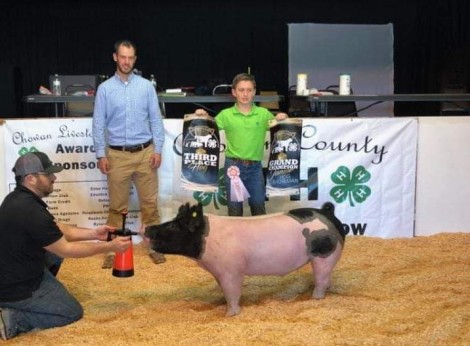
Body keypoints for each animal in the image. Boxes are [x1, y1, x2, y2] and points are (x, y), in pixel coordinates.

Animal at [145, 201, 346, 318]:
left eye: (174, 226)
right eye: (172, 221)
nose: (148, 229)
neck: (206, 238)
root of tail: (329, 214)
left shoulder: (231, 270)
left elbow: (232, 292)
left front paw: (230, 315)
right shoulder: (219, 271)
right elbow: (224, 291)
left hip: (323, 255)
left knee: (321, 279)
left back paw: (316, 298)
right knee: (326, 277)